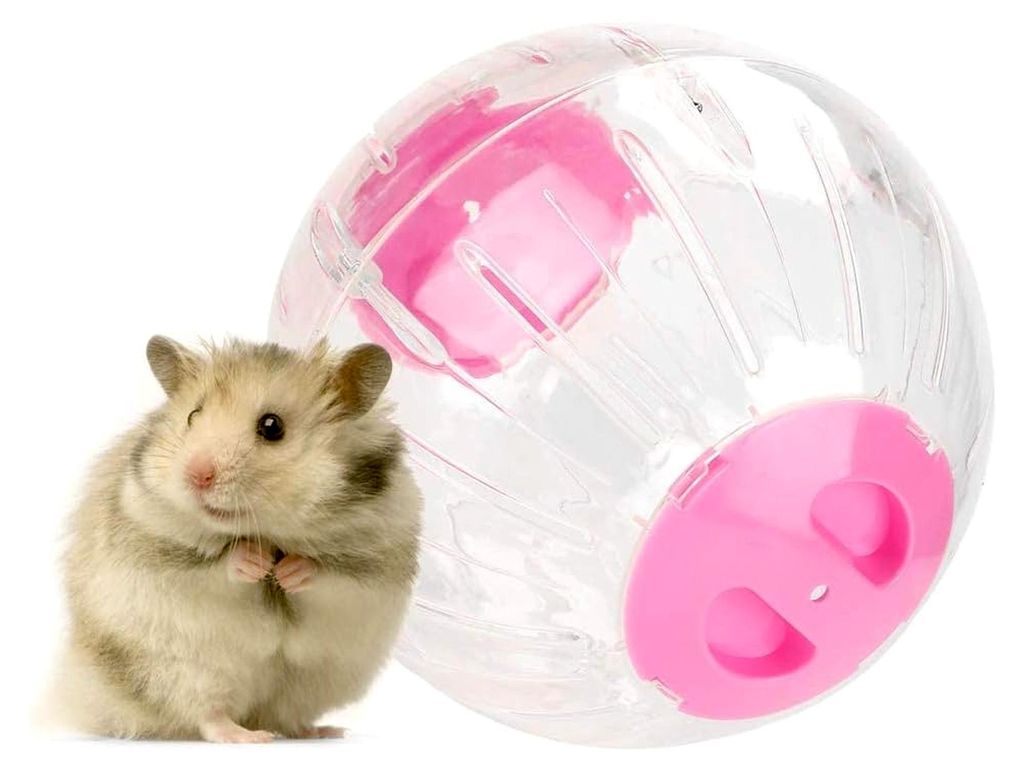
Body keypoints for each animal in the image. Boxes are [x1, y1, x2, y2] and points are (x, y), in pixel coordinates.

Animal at [49, 336, 422, 742]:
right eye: (193, 416)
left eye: (272, 426)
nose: (196, 475)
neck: (270, 532)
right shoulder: (158, 547)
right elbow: (216, 567)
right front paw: (255, 562)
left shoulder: (373, 566)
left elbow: (328, 575)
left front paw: (289, 571)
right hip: (182, 669)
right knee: (207, 715)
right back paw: (248, 737)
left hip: (313, 682)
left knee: (285, 717)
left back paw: (322, 731)